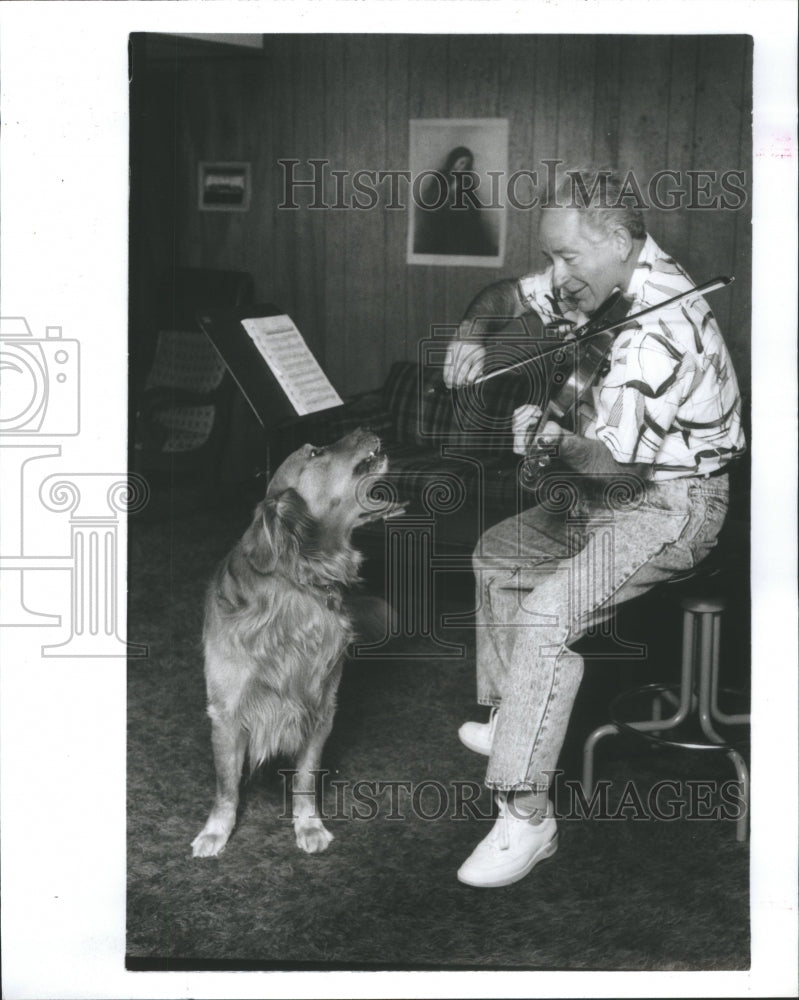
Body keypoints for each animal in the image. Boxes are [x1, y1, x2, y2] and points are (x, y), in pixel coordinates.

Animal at [191, 426, 396, 856]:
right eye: (315, 452)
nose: (366, 427)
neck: (299, 586)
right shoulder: (226, 712)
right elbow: (226, 785)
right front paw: (216, 831)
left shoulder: (320, 708)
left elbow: (305, 778)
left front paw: (308, 824)